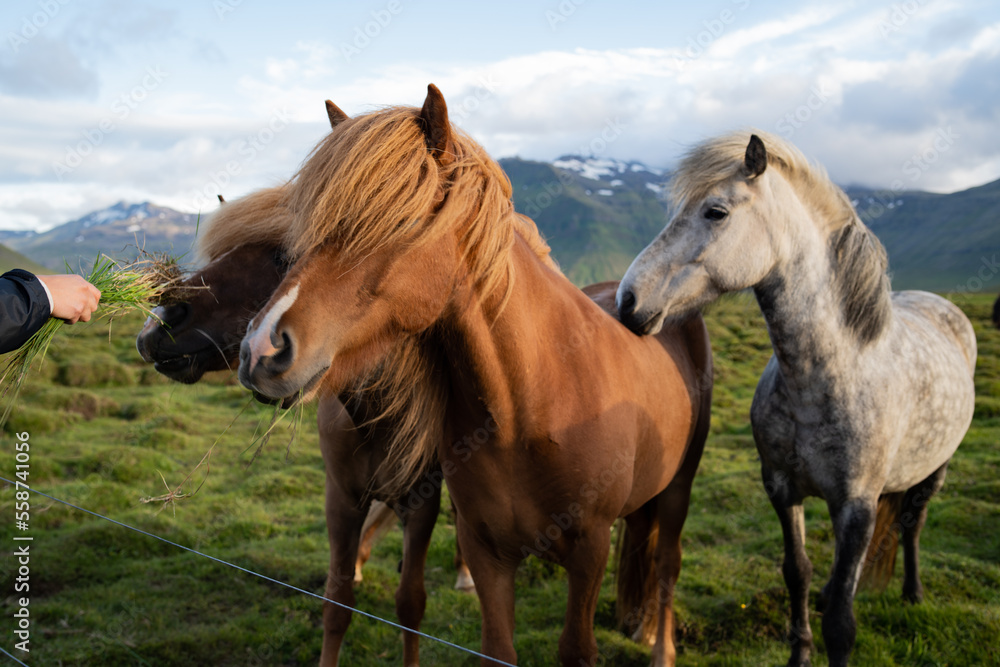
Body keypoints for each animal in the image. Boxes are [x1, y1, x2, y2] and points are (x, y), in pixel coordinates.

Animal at [135, 102, 473, 666]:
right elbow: (337, 600)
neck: (380, 413)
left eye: (285, 256)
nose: (157, 324)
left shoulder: (420, 500)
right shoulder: (341, 497)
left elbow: (411, 603)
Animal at [238, 84, 713, 666]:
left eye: (399, 223)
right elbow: (495, 647)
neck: (530, 406)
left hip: (679, 486)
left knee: (668, 563)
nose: (262, 349)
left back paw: (661, 649)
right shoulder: (487, 553)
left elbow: (577, 649)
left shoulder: (589, 552)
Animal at [617, 131, 977, 667]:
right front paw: (799, 653)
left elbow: (843, 622)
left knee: (913, 524)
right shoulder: (782, 488)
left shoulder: (856, 506)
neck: (823, 380)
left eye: (716, 212)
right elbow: (798, 572)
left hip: (935, 468)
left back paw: (913, 593)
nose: (628, 301)